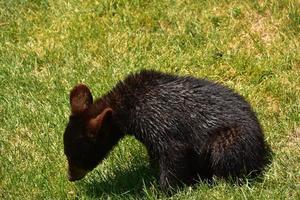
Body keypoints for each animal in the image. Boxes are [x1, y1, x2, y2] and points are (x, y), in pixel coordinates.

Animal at [63, 69, 270, 191]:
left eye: (78, 156)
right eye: (67, 154)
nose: (71, 177)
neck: (127, 107)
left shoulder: (160, 123)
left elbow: (173, 155)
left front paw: (163, 189)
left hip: (230, 139)